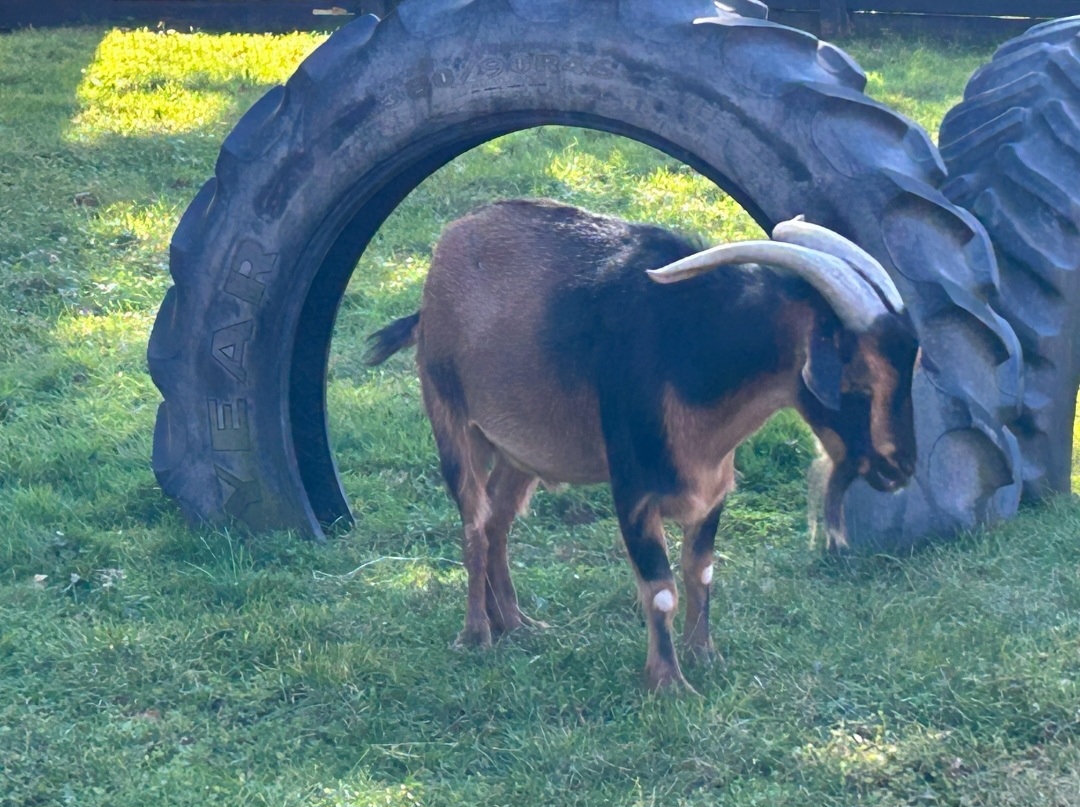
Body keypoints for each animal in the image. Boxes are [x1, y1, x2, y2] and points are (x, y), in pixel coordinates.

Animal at [365, 199, 919, 691]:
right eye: (857, 377)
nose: (902, 468)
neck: (691, 352)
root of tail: (443, 260)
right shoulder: (633, 491)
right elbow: (660, 590)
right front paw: (669, 684)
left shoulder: (713, 489)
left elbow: (701, 571)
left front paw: (705, 656)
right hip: (451, 418)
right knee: (474, 523)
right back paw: (477, 634)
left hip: (519, 450)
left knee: (498, 520)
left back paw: (517, 624)